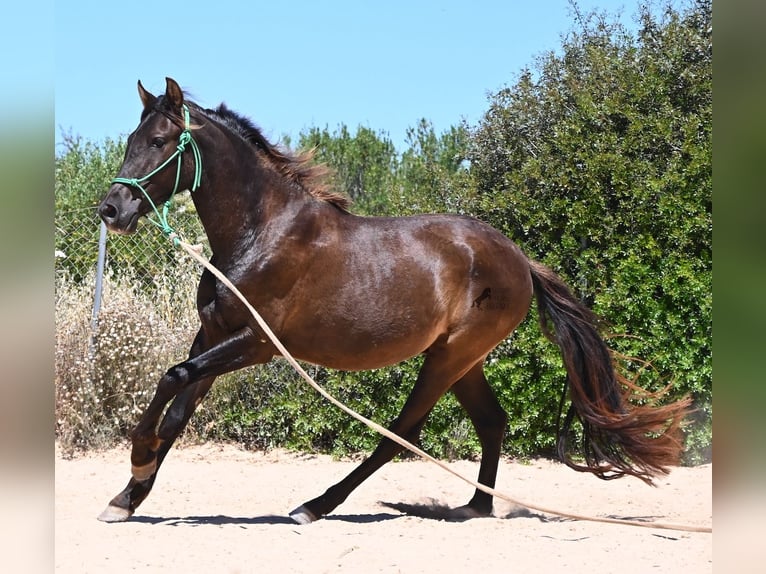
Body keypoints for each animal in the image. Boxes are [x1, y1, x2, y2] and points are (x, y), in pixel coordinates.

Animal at [96, 77, 690, 524]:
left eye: (159, 141)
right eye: (130, 136)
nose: (111, 210)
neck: (260, 234)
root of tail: (520, 260)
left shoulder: (257, 343)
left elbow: (172, 377)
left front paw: (137, 457)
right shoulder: (215, 335)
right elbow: (178, 410)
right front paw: (127, 497)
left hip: (449, 357)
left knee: (402, 433)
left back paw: (316, 506)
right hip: (463, 359)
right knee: (491, 422)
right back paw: (474, 507)